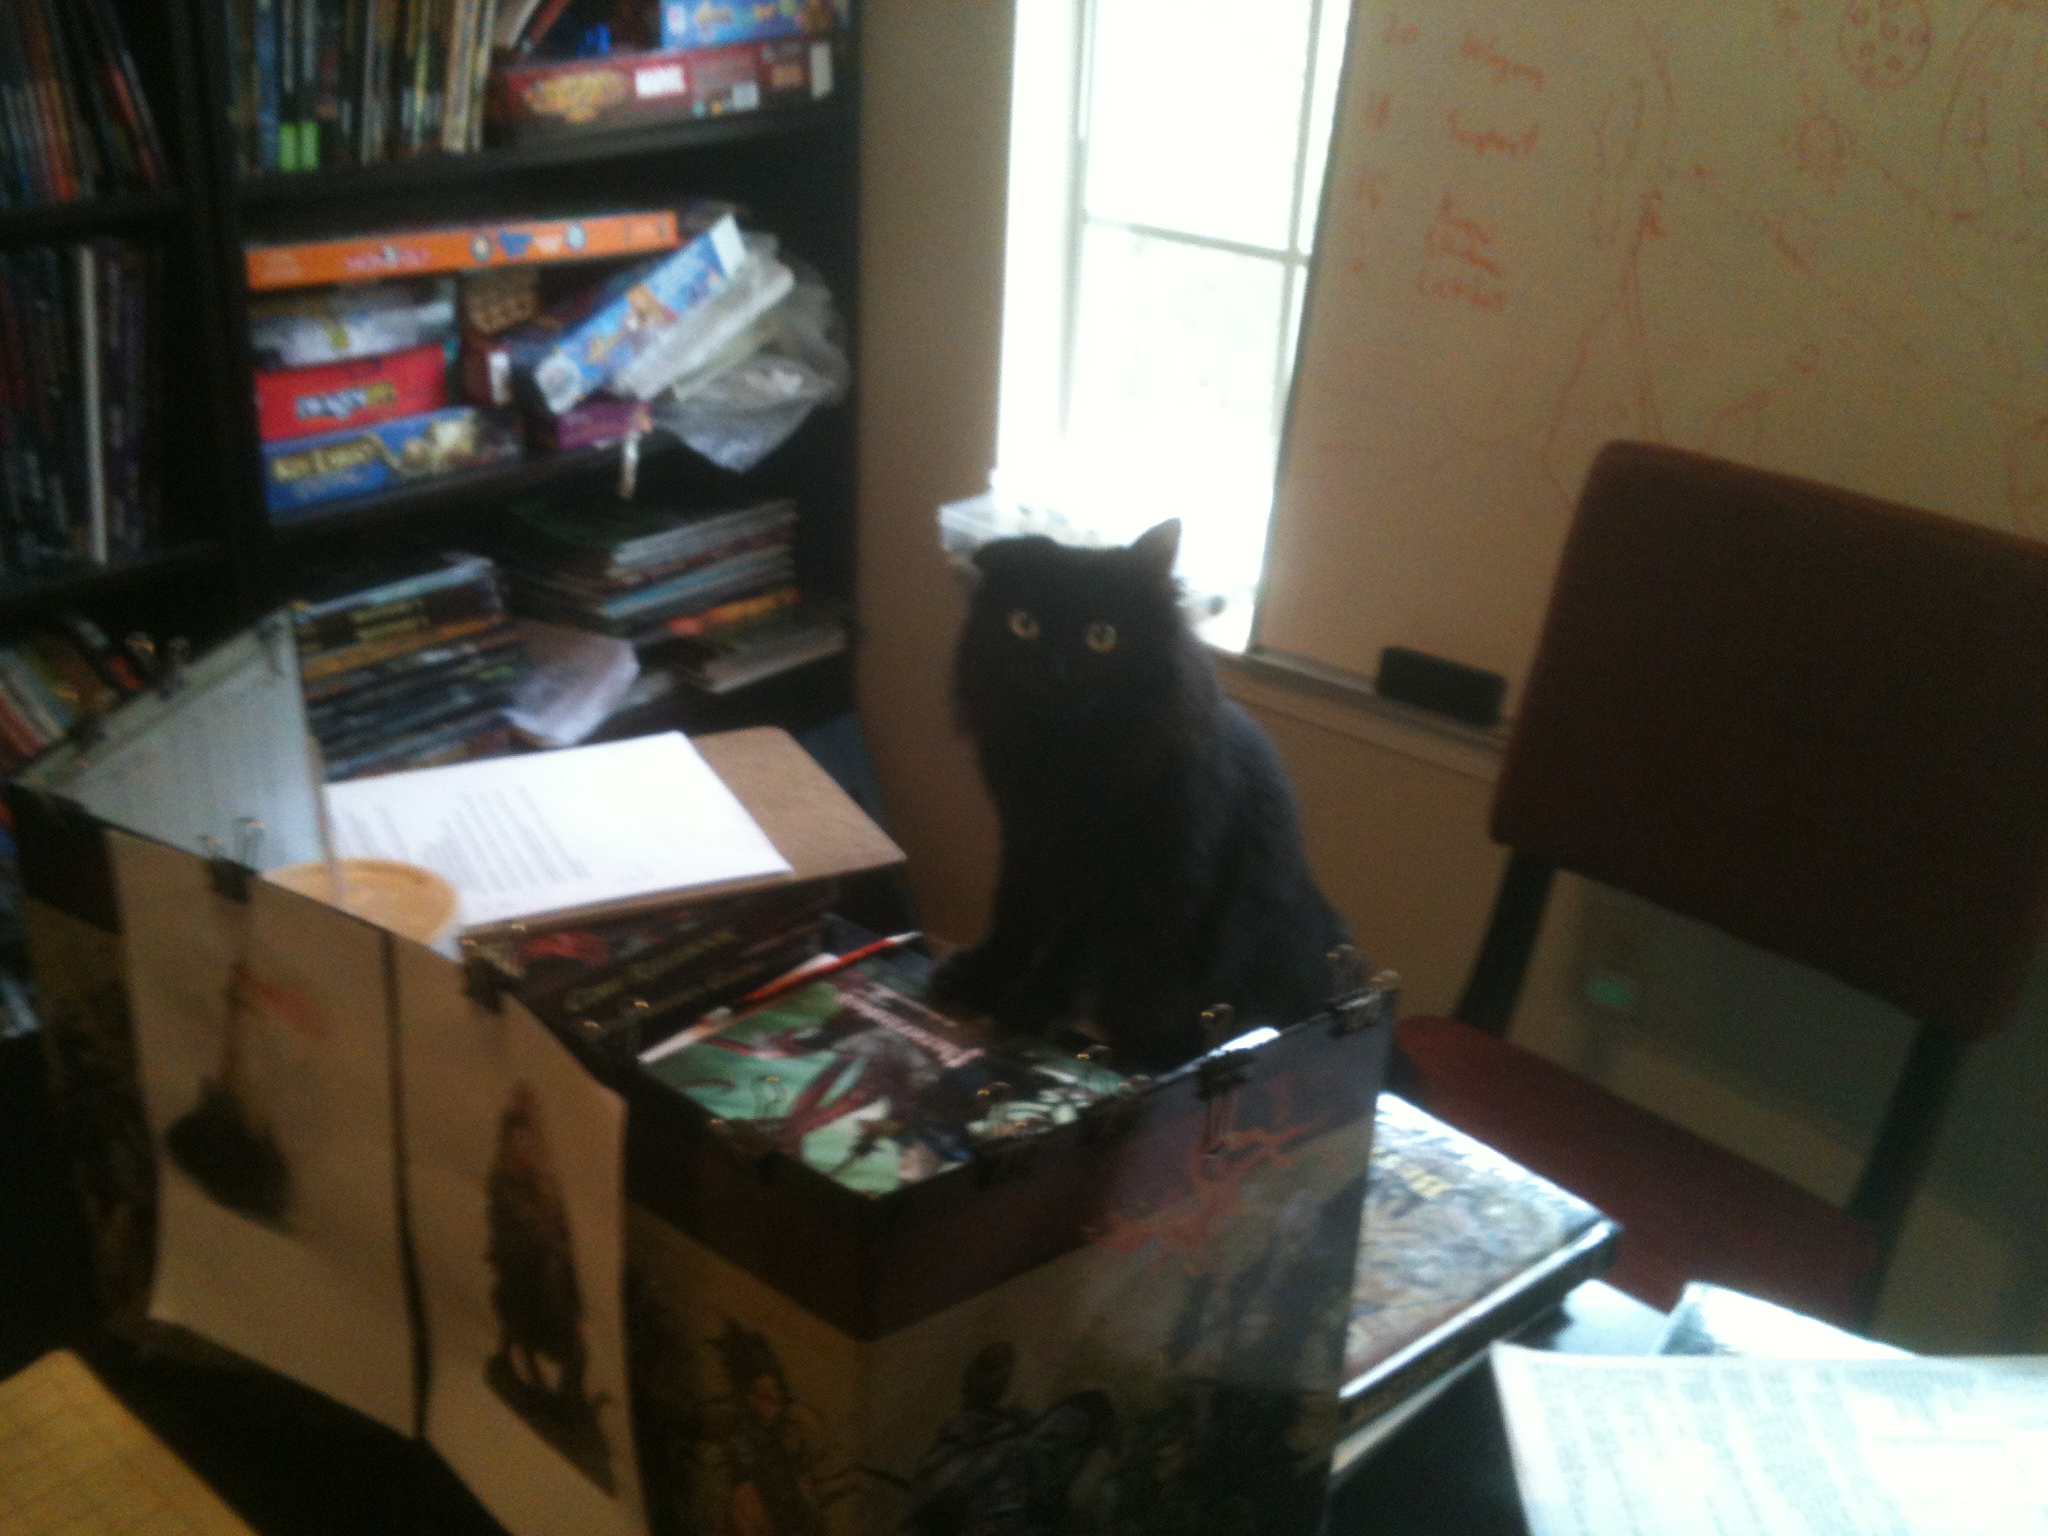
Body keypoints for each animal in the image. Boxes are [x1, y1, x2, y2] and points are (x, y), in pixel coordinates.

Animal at [931, 519, 1352, 1071]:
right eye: (1023, 624)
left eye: (1102, 636)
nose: (1055, 669)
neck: (1067, 759)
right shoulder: (1026, 844)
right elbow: (1014, 921)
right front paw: (978, 977)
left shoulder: (1147, 876)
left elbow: (1078, 949)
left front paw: (1033, 1004)